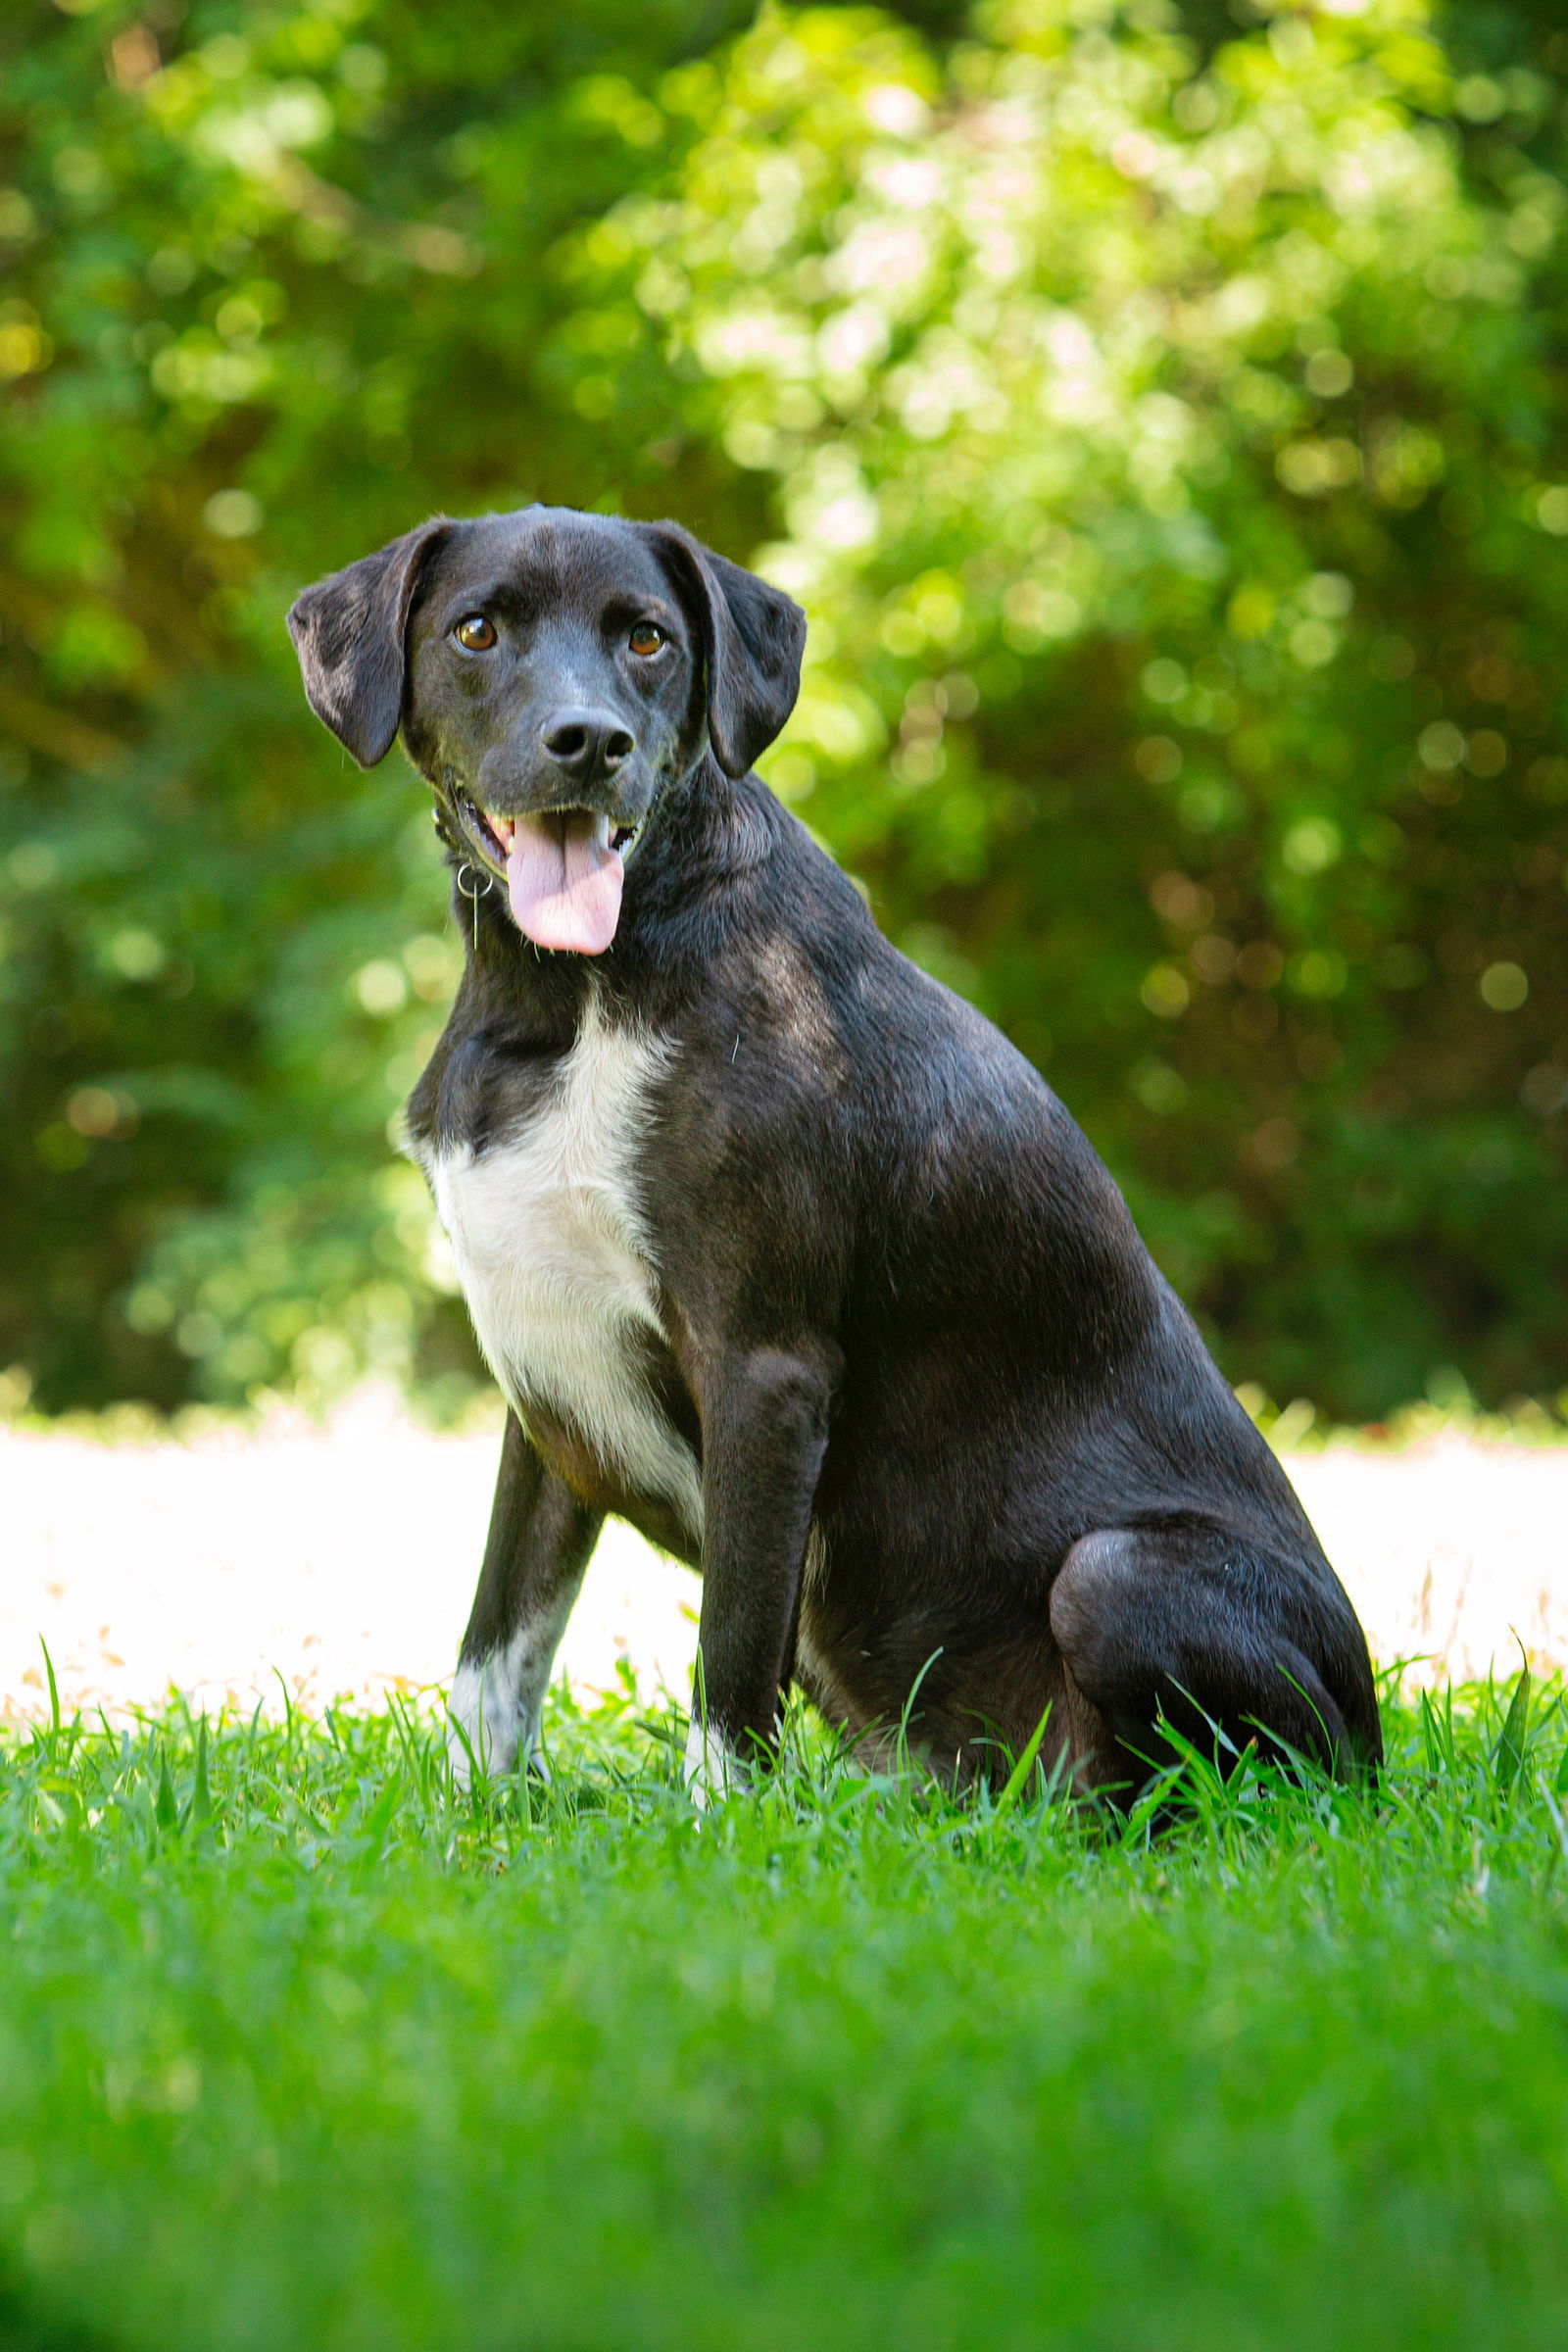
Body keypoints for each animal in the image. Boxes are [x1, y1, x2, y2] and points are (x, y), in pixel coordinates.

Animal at [287, 506, 1382, 1796]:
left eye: (648, 639)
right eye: (474, 630)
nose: (590, 742)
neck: (563, 1002)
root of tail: (1377, 1747)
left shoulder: (763, 1366)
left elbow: (729, 1659)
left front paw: (718, 1827)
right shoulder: (548, 1382)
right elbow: (495, 1653)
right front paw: (475, 1817)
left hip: (1117, 1577)